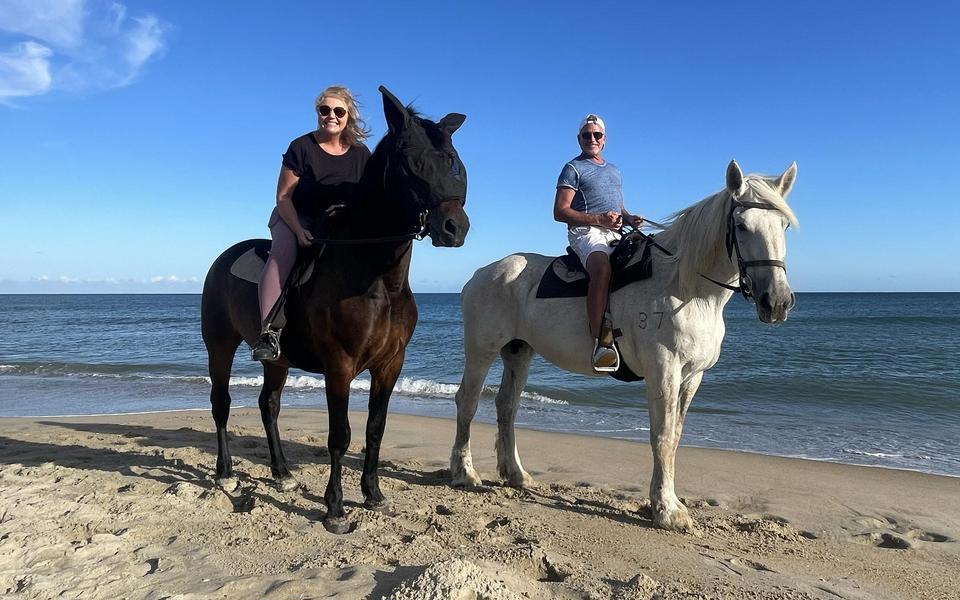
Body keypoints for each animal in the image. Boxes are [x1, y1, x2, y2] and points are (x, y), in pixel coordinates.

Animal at [201, 86, 470, 532]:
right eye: (411, 160)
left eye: (452, 159)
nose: (454, 228)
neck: (377, 278)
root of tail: (225, 257)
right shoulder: (339, 365)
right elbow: (340, 435)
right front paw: (335, 508)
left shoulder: (390, 364)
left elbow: (375, 429)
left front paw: (374, 495)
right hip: (219, 346)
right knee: (221, 403)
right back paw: (225, 473)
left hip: (277, 360)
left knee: (268, 405)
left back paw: (282, 473)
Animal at [454, 159, 800, 528]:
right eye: (741, 225)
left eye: (783, 226)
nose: (777, 302)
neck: (686, 288)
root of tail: (480, 275)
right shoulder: (663, 370)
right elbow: (661, 436)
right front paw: (667, 509)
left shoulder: (692, 377)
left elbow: (675, 437)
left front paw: (665, 501)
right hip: (481, 351)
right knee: (468, 402)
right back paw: (464, 473)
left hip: (519, 352)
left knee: (507, 406)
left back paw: (516, 475)